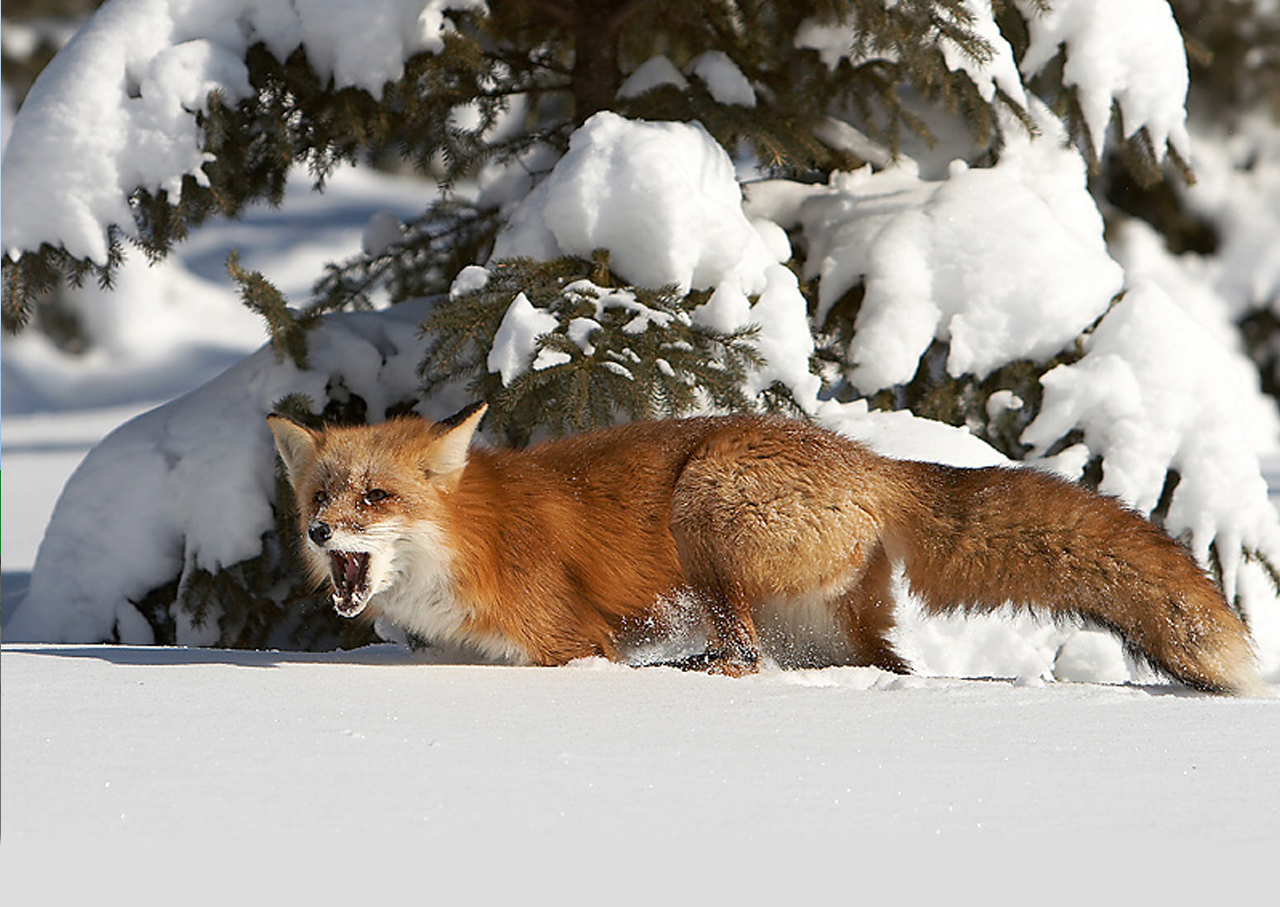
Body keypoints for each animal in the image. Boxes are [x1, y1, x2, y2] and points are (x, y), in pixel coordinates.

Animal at [264, 404, 1264, 695]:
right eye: (319, 498)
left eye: (376, 497)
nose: (320, 533)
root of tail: (873, 461)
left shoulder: (565, 640)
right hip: (824, 628)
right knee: (881, 668)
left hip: (705, 514)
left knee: (743, 657)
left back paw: (695, 673)